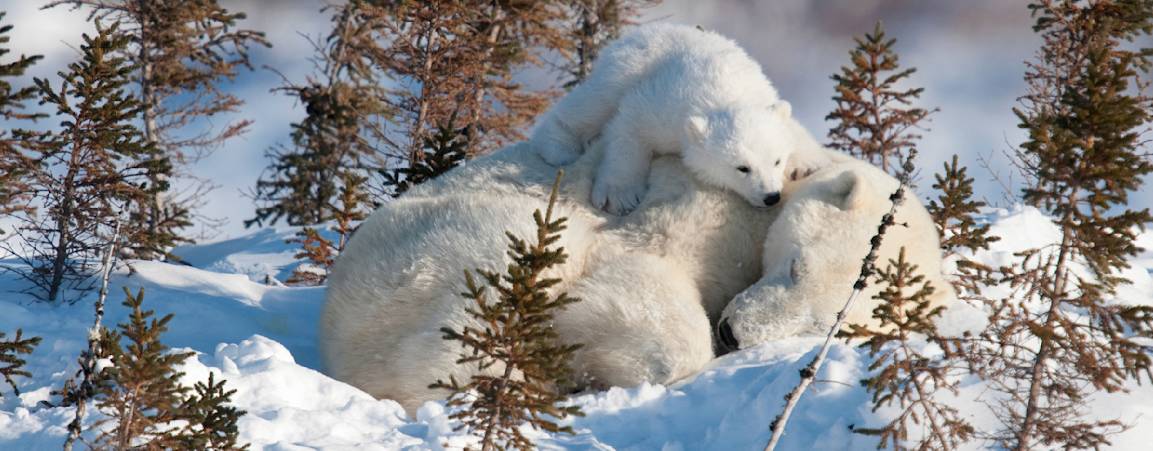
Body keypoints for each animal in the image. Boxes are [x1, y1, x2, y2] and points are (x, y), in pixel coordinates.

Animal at [528, 23, 825, 216]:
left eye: (777, 160)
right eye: (742, 168)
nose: (771, 197)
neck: (726, 92)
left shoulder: (763, 93)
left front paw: (805, 163)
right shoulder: (662, 106)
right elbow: (630, 128)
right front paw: (619, 196)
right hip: (625, 68)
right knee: (592, 103)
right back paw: (558, 146)